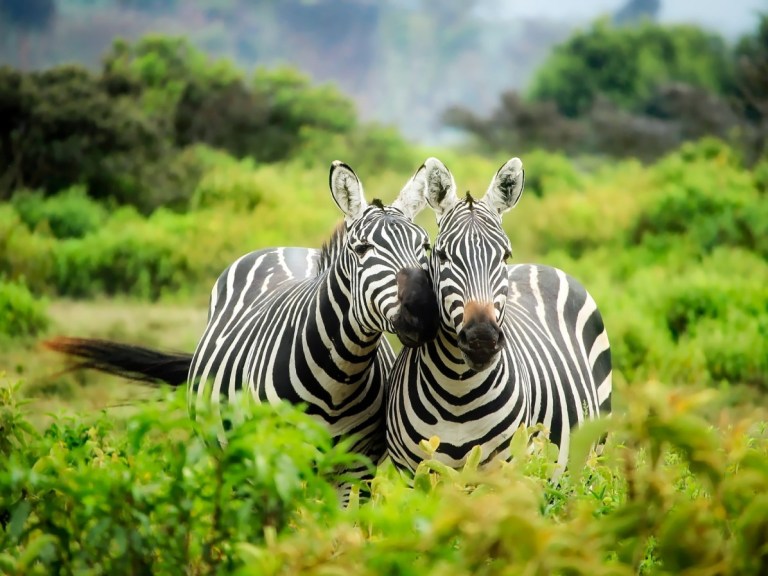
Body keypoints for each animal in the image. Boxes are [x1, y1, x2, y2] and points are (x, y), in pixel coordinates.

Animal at [46, 160, 440, 498]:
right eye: (361, 249)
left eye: (425, 245)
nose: (423, 311)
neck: (339, 377)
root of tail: (285, 247)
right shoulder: (274, 459)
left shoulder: (356, 469)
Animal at [385, 157, 612, 478]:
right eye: (441, 255)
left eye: (505, 256)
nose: (482, 339)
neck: (457, 393)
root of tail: (540, 266)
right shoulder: (413, 474)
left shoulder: (505, 472)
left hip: (593, 454)